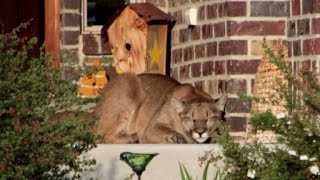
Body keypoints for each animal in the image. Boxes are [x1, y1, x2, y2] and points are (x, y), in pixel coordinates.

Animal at [94, 73, 226, 143]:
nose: (200, 132)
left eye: (209, 118)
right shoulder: (152, 127)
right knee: (101, 136)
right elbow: (167, 130)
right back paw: (133, 138)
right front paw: (177, 137)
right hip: (129, 80)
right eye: (191, 119)